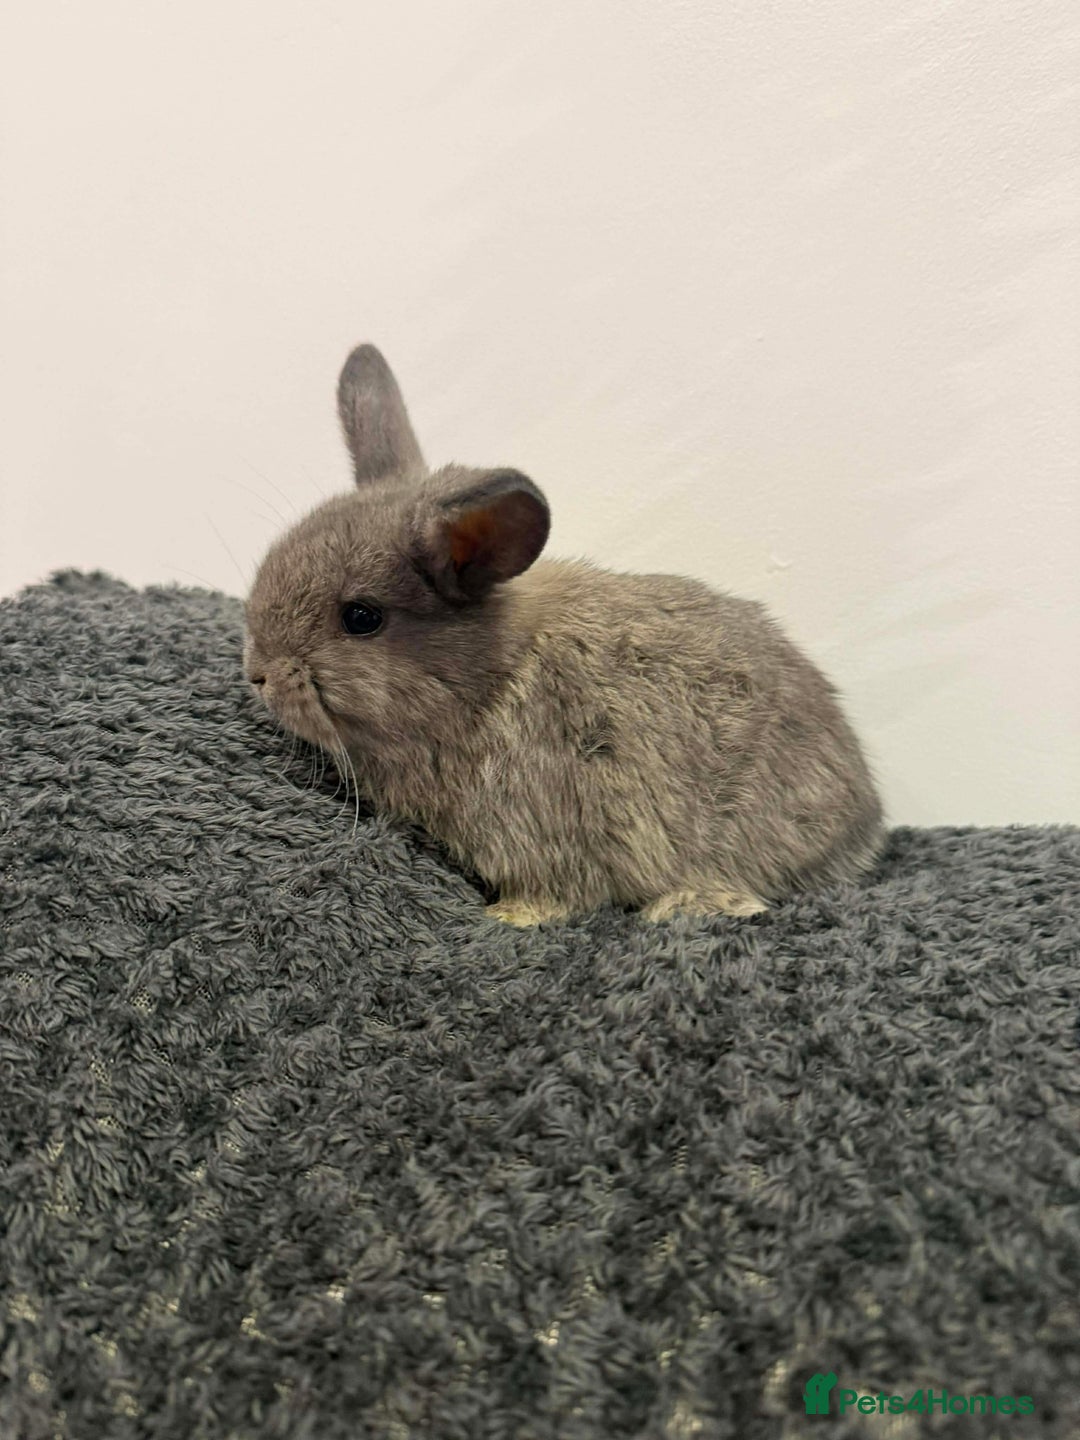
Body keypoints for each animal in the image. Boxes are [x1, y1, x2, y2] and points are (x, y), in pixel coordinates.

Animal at [243, 343, 885, 926]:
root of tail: (866, 815)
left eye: (361, 618)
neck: (487, 684)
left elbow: (554, 894)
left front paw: (509, 917)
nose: (259, 675)